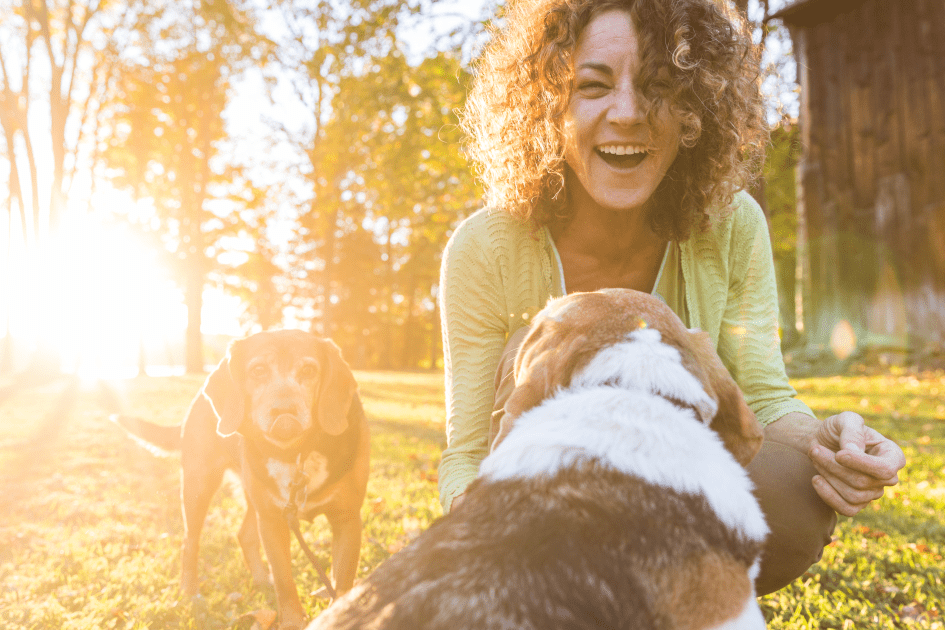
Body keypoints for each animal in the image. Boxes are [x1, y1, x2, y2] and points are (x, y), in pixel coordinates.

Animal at [112, 330, 370, 630]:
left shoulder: (347, 520)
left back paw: (260, 580)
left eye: (308, 370)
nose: (285, 412)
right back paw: (189, 592)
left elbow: (342, 585)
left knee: (244, 535)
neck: (295, 453)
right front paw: (292, 621)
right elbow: (285, 582)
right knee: (190, 542)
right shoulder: (272, 521)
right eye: (258, 370)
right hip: (199, 486)